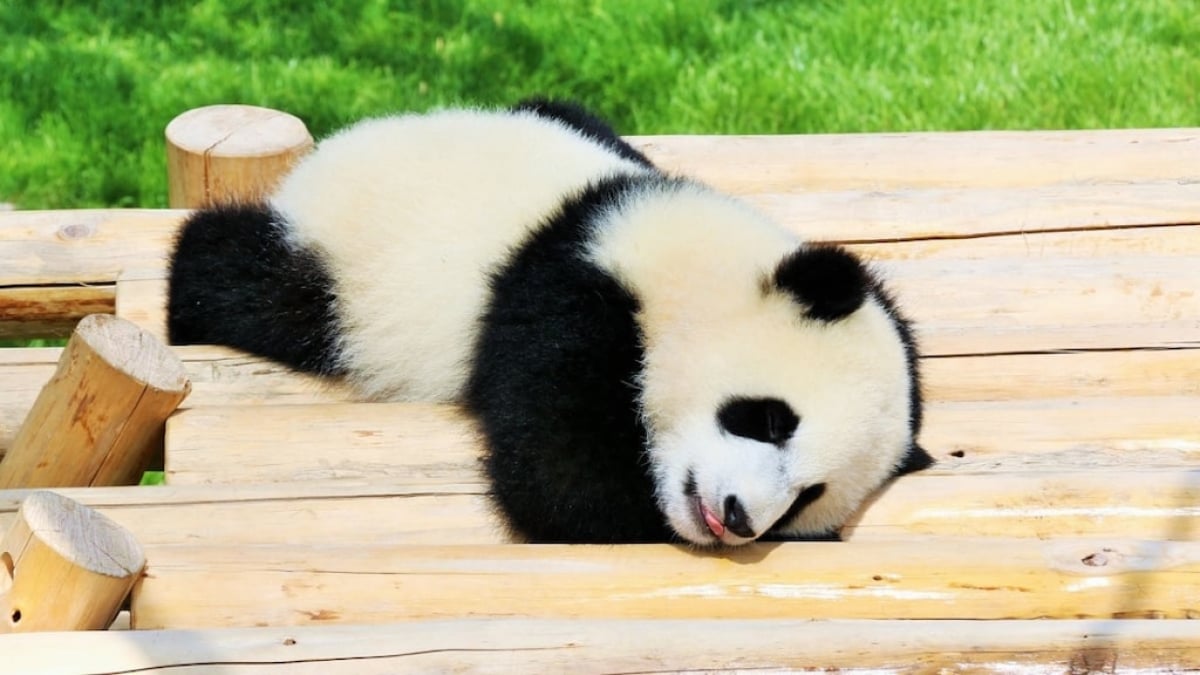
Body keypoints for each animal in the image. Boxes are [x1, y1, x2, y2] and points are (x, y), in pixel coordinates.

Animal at [168, 99, 932, 546]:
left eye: (809, 496)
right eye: (770, 419)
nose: (741, 518)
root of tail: (327, 161)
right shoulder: (573, 299)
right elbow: (558, 483)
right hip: (345, 275)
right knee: (245, 279)